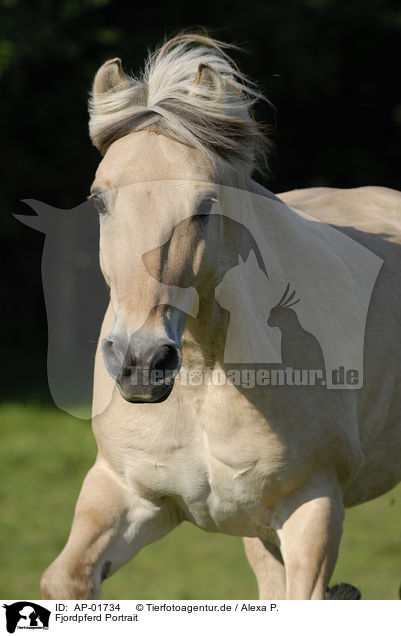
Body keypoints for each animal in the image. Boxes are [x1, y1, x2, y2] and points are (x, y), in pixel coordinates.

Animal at [40, 34, 400, 600]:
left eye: (205, 204)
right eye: (99, 201)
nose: (142, 363)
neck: (202, 377)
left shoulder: (313, 507)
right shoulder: (125, 492)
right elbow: (65, 580)